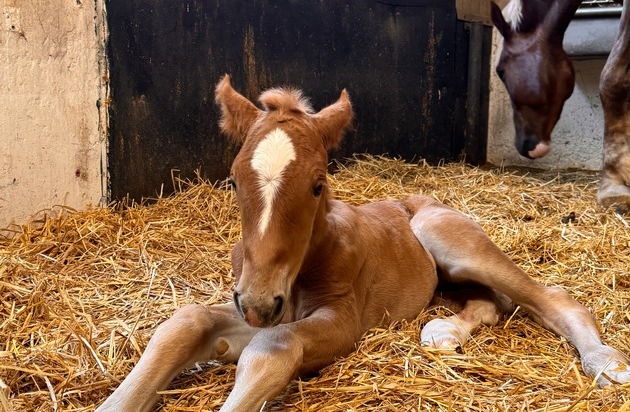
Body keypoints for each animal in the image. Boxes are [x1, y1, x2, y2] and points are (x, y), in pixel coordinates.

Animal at [96, 75, 628, 410]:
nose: (260, 303)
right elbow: (185, 323)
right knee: (490, 302)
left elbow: (272, 345)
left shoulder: (340, 318)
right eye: (232, 179)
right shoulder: (249, 302)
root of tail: (421, 199)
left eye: (317, 184)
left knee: (550, 297)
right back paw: (444, 332)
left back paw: (607, 363)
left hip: (448, 238)